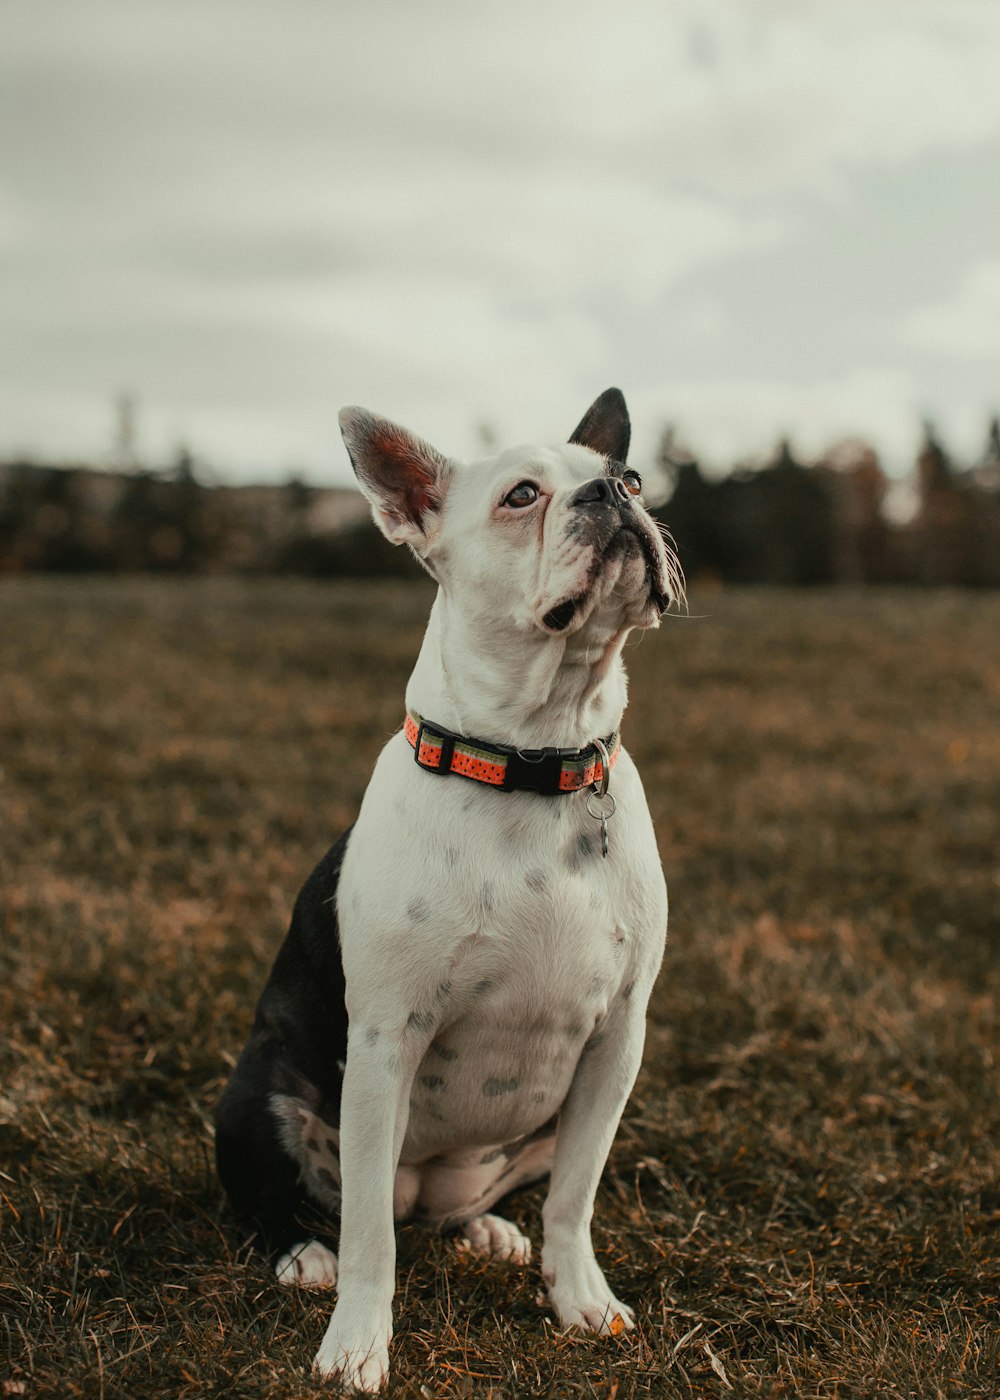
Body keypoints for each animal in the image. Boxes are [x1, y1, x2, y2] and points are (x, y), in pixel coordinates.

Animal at [214, 383, 680, 1388]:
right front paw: (355, 1348)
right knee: (306, 1206)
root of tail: (425, 1190)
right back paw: (300, 1254)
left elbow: (576, 1199)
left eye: (630, 477)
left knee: (476, 1203)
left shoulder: (618, 1040)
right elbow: (369, 1244)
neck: (537, 758)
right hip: (261, 1088)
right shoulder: (388, 1039)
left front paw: (581, 1302)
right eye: (521, 496)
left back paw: (485, 1229)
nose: (611, 498)